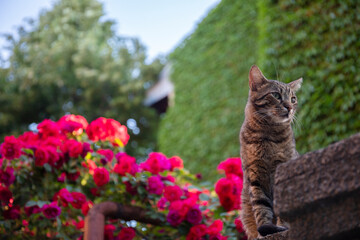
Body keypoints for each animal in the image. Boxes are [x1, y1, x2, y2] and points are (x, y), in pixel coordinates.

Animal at [240, 64, 302, 239]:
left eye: (293, 99)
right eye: (276, 95)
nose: (289, 107)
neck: (266, 135)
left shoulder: (282, 167)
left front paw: (283, 226)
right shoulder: (255, 174)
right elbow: (261, 206)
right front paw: (266, 229)